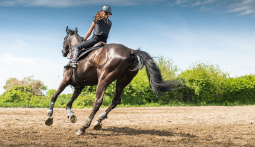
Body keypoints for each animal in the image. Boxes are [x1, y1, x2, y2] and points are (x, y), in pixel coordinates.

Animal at [45, 26, 180, 136]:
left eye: (64, 39)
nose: (63, 52)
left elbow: (54, 96)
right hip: (122, 81)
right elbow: (69, 102)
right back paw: (98, 121)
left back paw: (84, 127)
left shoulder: (66, 80)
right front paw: (70, 115)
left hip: (104, 80)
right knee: (116, 100)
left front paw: (49, 116)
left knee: (98, 102)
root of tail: (131, 51)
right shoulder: (79, 86)